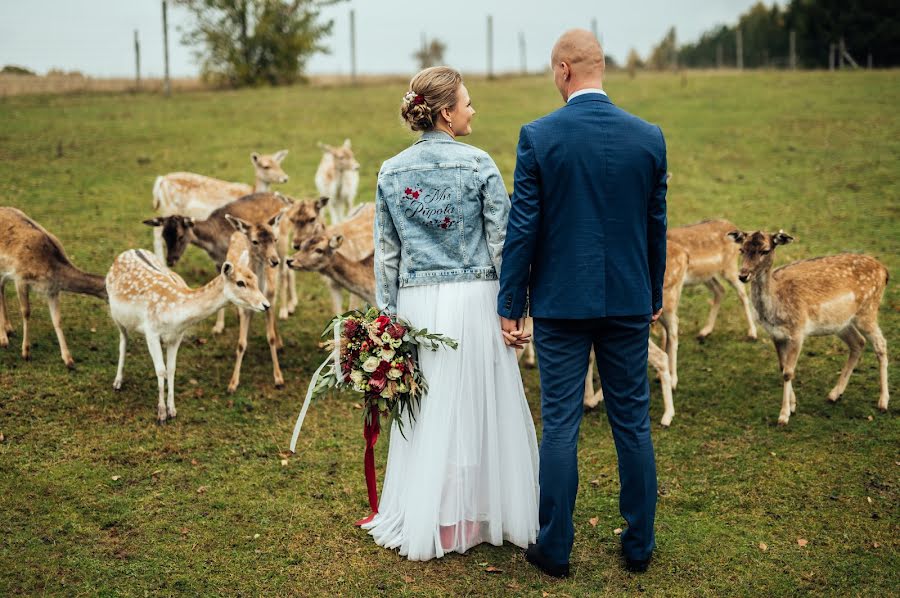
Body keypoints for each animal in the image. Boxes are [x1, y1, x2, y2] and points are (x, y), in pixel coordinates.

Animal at [0, 207, 108, 370]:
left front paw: (68, 360)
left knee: (1, 287)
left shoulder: (52, 290)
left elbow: (57, 320)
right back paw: (3, 339)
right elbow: (26, 312)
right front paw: (25, 352)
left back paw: (8, 329)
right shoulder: (20, 277)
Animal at [106, 241, 268, 424]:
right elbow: (160, 370)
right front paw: (161, 414)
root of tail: (130, 250)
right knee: (123, 341)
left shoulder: (177, 336)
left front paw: (172, 410)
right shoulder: (151, 331)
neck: (175, 315)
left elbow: (171, 369)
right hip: (115, 314)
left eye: (255, 278)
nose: (266, 305)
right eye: (240, 283)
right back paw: (117, 382)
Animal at [153, 150, 290, 262]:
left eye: (279, 164)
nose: (285, 178)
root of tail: (160, 180)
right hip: (168, 208)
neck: (251, 190)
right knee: (157, 232)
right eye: (266, 166)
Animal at [728, 230, 888, 426]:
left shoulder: (798, 331)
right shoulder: (775, 334)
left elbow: (788, 372)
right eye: (741, 249)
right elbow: (782, 367)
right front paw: (793, 405)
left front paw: (783, 416)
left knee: (881, 344)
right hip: (841, 323)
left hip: (868, 311)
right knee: (858, 343)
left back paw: (883, 402)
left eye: (765, 250)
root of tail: (884, 271)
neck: (775, 308)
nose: (743, 275)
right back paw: (834, 394)